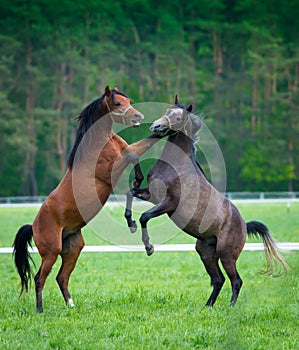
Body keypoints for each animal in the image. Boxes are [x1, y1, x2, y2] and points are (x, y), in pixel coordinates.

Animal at [12, 86, 162, 314]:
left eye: (128, 100)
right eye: (117, 103)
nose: (139, 117)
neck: (99, 143)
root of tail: (33, 225)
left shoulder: (126, 151)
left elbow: (137, 151)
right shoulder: (111, 169)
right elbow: (133, 155)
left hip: (73, 248)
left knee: (61, 277)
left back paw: (71, 305)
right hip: (51, 252)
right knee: (40, 278)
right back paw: (40, 309)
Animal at [125, 95, 288, 306]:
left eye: (178, 117)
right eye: (167, 111)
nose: (156, 126)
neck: (177, 166)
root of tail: (244, 225)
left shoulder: (169, 204)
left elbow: (145, 216)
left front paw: (149, 247)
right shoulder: (151, 195)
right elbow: (131, 193)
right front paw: (130, 223)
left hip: (227, 255)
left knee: (236, 280)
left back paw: (231, 307)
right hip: (205, 251)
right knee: (218, 279)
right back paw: (208, 306)